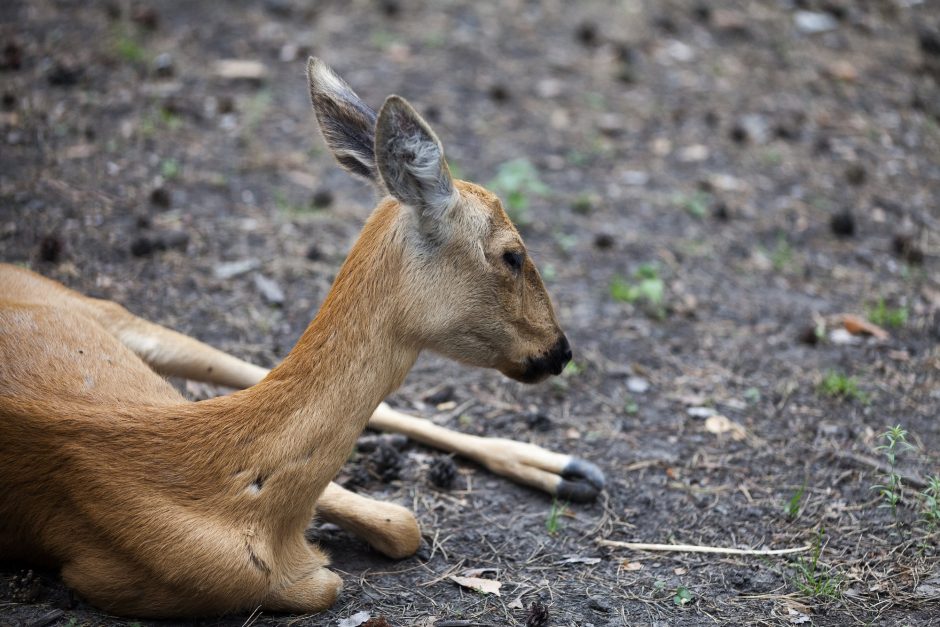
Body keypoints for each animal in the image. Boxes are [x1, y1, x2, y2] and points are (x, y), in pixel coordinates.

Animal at [0, 59, 604, 620]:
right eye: (512, 254)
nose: (561, 350)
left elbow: (402, 521)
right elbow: (358, 554)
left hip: (106, 315)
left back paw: (572, 471)